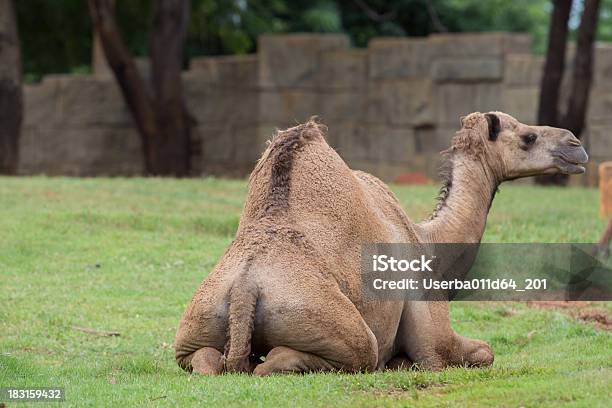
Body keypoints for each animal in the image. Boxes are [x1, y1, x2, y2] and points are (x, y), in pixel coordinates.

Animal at [173, 112, 588, 376]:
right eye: (527, 136)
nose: (576, 145)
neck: (428, 242)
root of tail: (245, 289)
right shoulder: (430, 324)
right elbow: (479, 353)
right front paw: (404, 362)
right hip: (332, 325)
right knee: (327, 357)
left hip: (194, 330)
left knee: (206, 362)